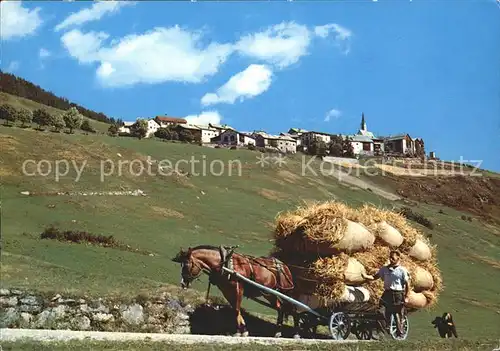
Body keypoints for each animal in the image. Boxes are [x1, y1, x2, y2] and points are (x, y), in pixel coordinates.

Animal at [171, 245, 300, 338]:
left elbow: (237, 309)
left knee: (293, 309)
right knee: (280, 308)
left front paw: (240, 331)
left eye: (187, 264)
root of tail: (284, 265)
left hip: (286, 291)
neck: (225, 264)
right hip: (270, 293)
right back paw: (278, 332)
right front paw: (243, 330)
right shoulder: (227, 290)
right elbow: (235, 309)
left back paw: (296, 334)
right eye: (181, 264)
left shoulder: (238, 288)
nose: (183, 283)